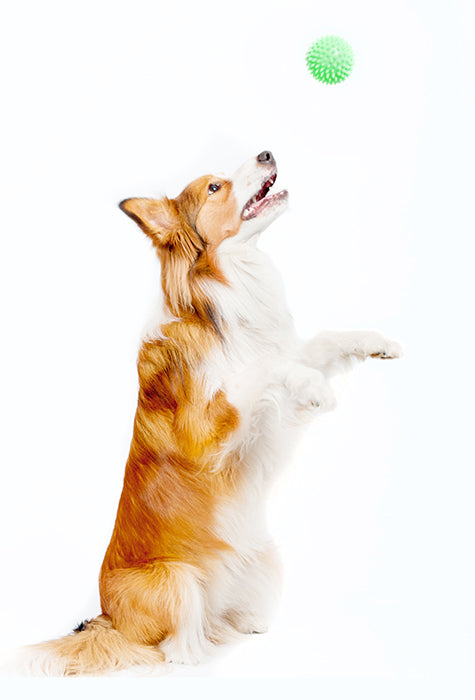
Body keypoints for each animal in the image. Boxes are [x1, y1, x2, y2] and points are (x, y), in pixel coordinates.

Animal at [21, 152, 402, 672]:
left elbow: (317, 346)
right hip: (176, 577)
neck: (225, 293)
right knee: (173, 649)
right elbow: (262, 372)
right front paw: (314, 387)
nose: (266, 152)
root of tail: (108, 619)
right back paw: (201, 650)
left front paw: (375, 343)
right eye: (214, 188)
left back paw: (243, 624)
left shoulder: (277, 411)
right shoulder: (208, 435)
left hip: (266, 559)